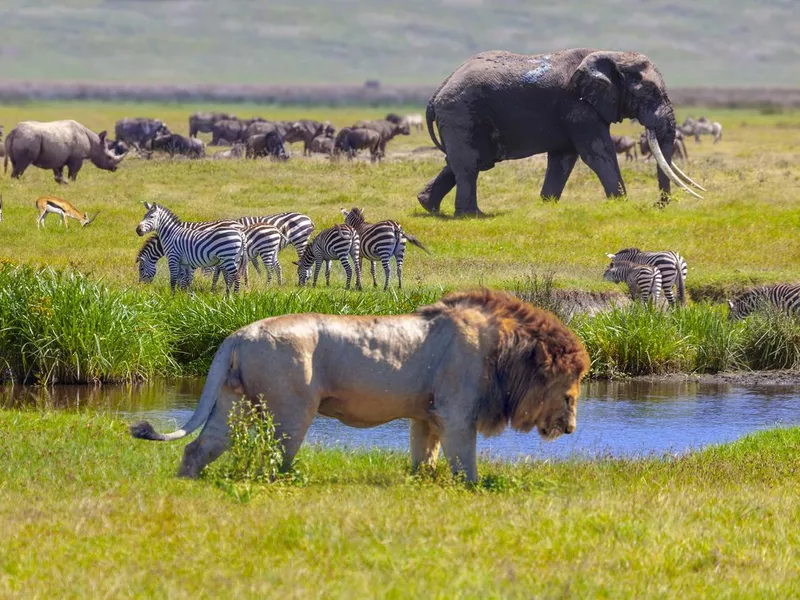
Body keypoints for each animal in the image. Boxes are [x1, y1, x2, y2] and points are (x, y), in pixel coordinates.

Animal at [131, 288, 592, 480]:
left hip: (235, 403)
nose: (570, 428)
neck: (505, 351)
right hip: (290, 410)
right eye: (571, 388)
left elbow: (424, 457)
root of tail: (237, 334)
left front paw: (422, 483)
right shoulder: (458, 412)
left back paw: (187, 482)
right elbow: (466, 462)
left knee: (199, 447)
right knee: (274, 459)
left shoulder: (427, 416)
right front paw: (472, 489)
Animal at [418, 48, 708, 216]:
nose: (658, 205)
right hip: (460, 112)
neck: (609, 55)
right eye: (649, 92)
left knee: (467, 161)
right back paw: (472, 215)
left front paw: (546, 206)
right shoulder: (578, 106)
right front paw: (621, 205)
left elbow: (563, 158)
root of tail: (435, 95)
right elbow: (598, 153)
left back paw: (428, 206)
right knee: (469, 163)